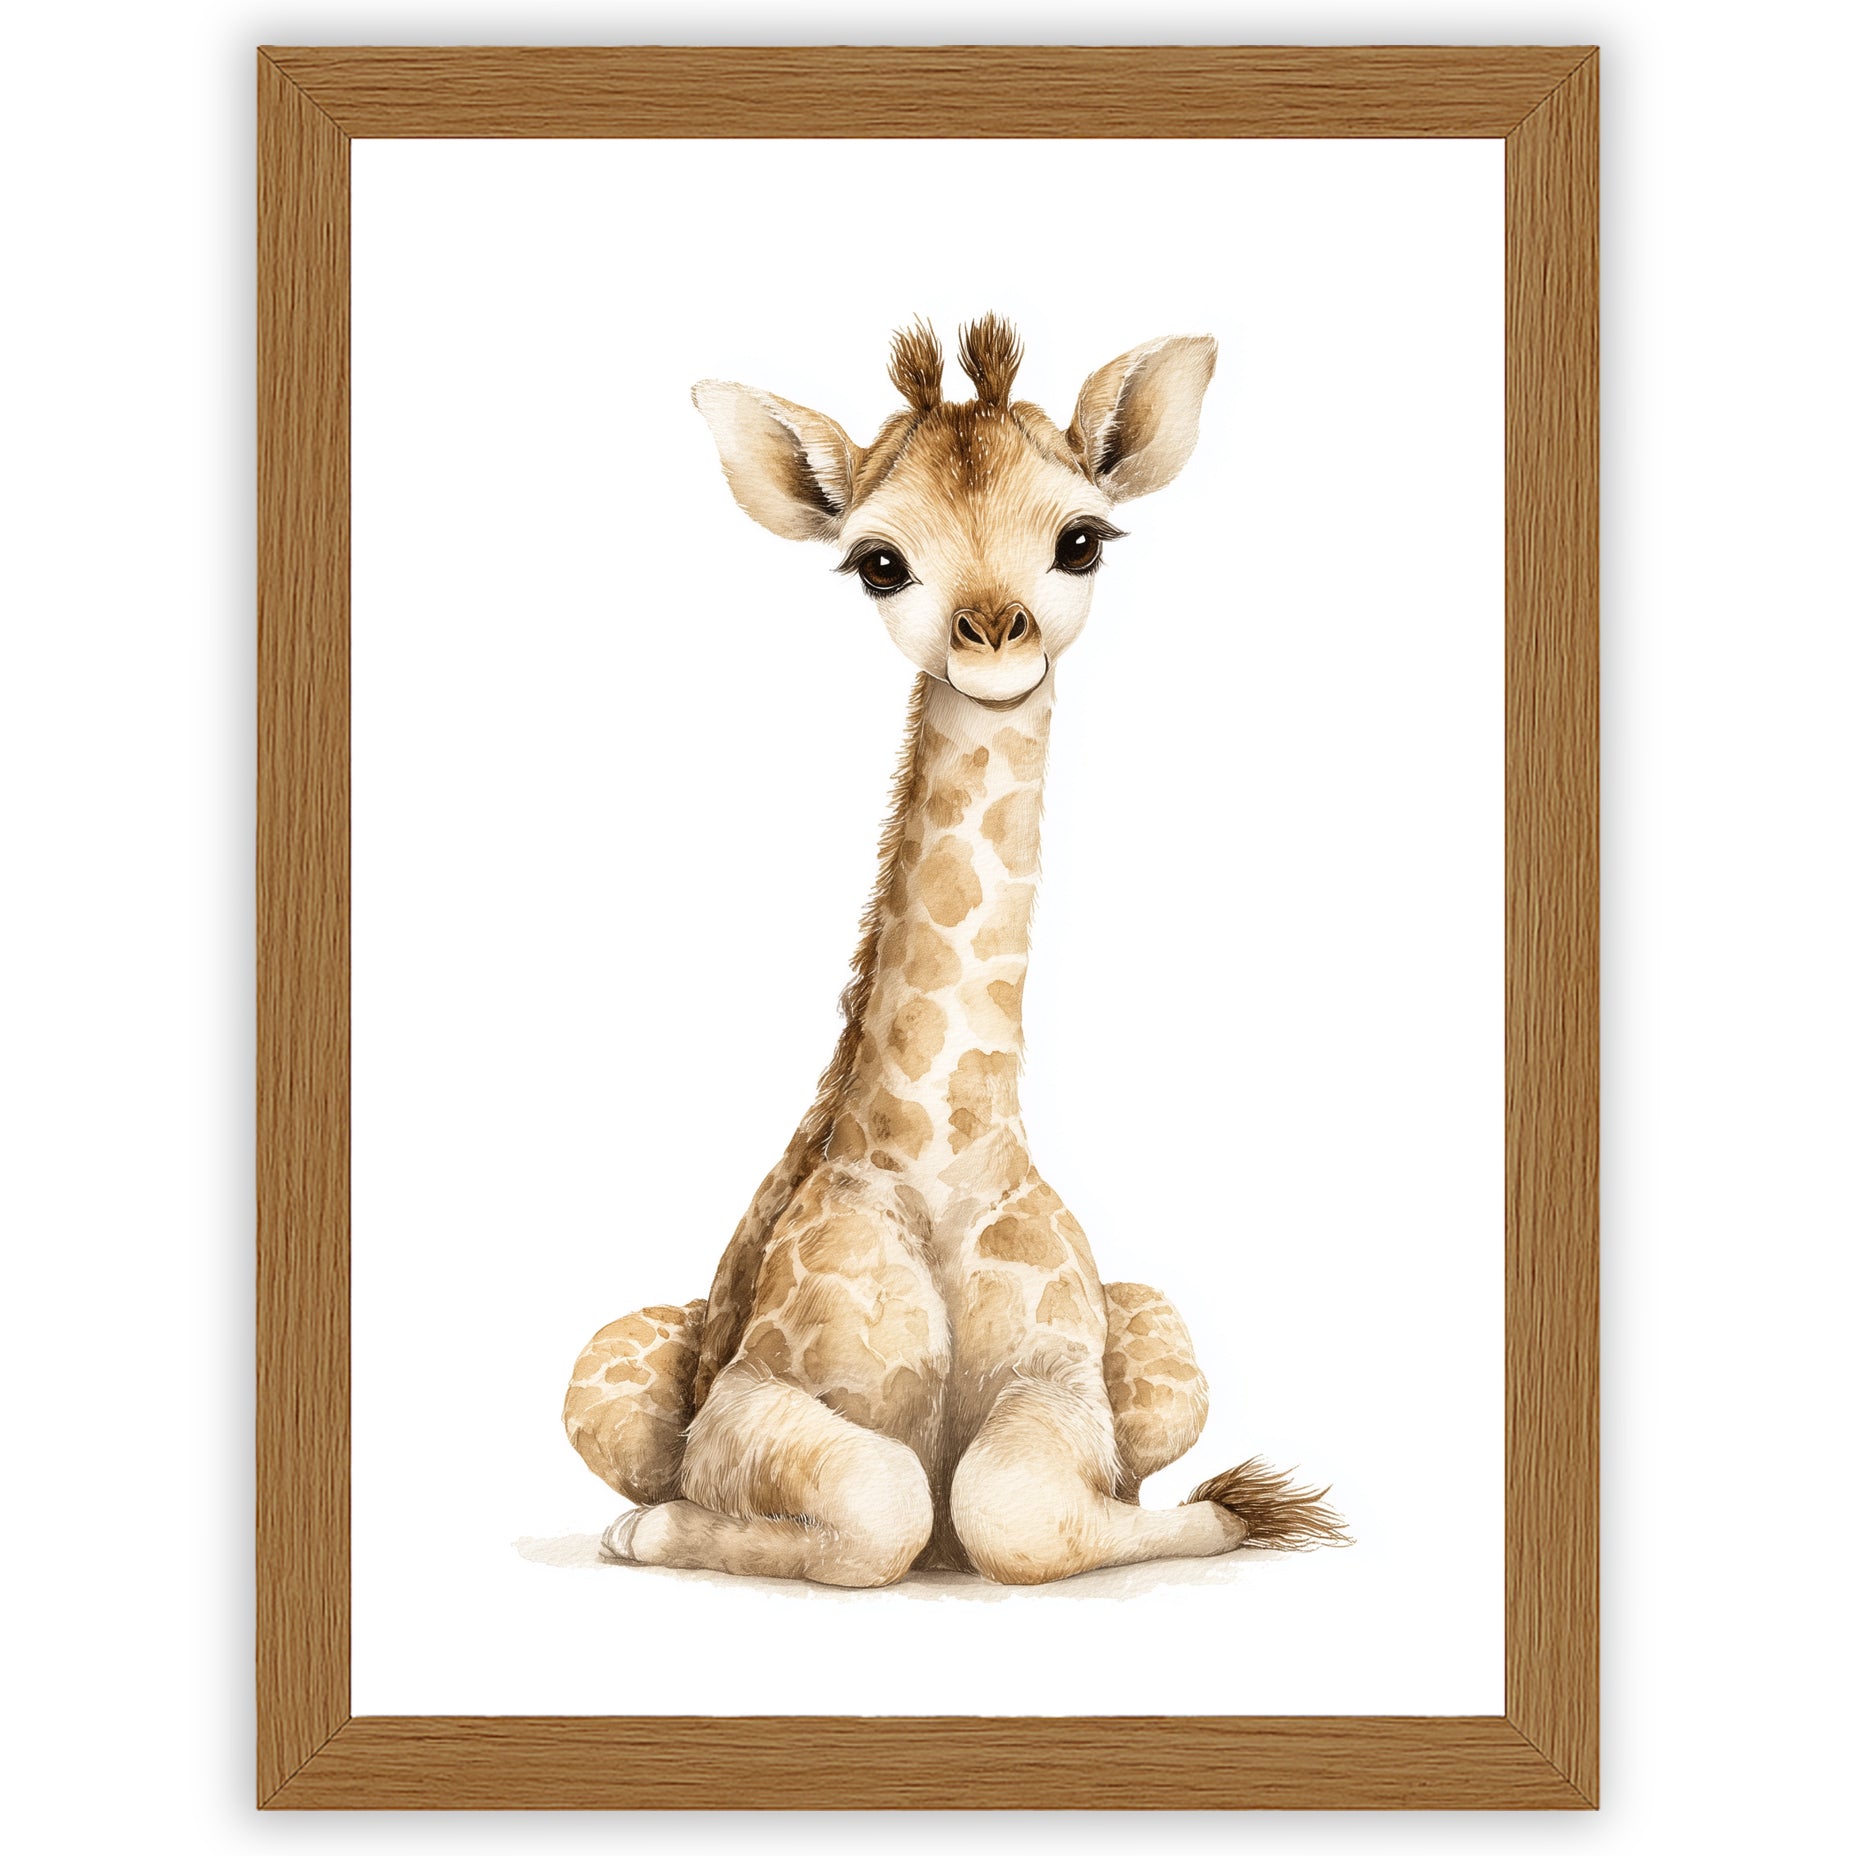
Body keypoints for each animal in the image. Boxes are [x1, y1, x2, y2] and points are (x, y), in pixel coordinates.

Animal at [562, 316, 1347, 1586]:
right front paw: (653, 1527)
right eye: (879, 562)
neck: (939, 1154)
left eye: (1080, 540)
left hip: (1162, 1336)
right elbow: (887, 1500)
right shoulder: (748, 1398)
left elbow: (1014, 1503)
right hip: (603, 1370)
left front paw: (1237, 1508)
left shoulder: (1063, 1381)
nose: (991, 636)